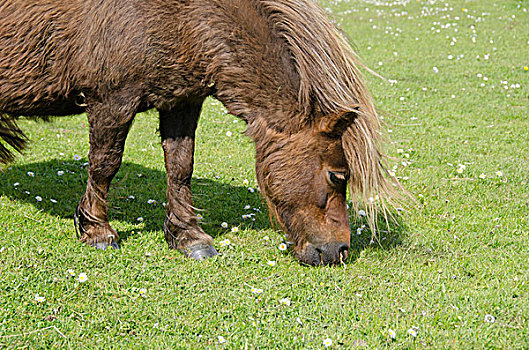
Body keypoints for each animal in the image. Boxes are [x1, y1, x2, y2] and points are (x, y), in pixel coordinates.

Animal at [0, 0, 396, 264]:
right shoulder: (112, 100)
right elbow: (105, 165)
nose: (339, 251)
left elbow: (180, 168)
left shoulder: (182, 101)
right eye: (337, 175)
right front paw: (97, 230)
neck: (184, 16)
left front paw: (188, 236)